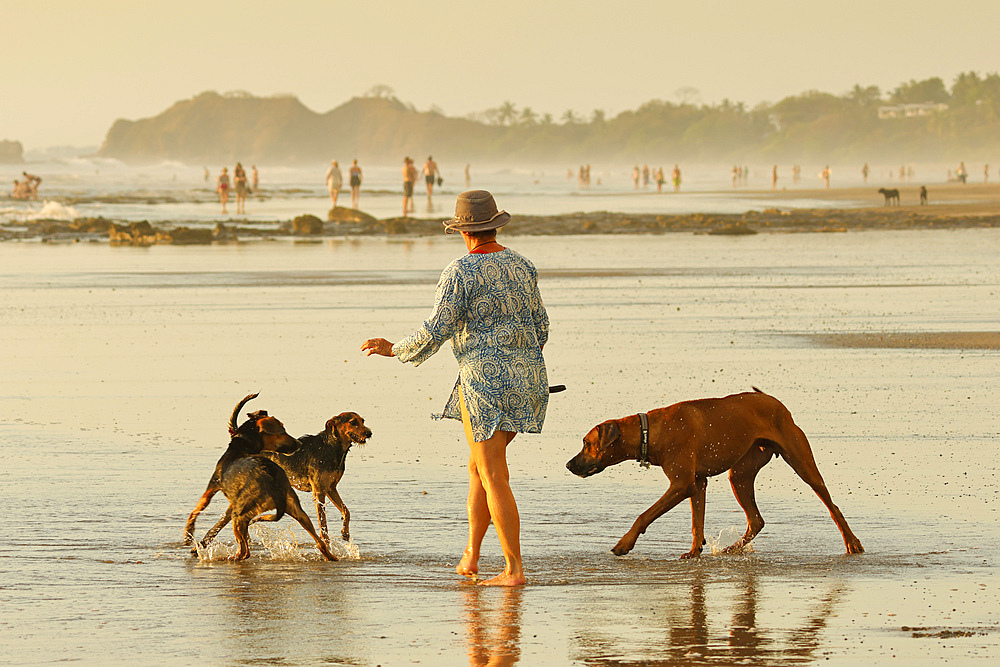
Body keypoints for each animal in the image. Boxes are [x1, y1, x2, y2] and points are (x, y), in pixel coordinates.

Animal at [264, 412, 374, 544]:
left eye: (363, 421)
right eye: (353, 422)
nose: (369, 433)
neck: (332, 447)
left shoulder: (330, 489)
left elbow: (346, 511)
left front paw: (345, 533)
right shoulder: (319, 491)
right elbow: (323, 523)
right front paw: (326, 541)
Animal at [568, 388, 864, 560]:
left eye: (585, 443)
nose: (569, 465)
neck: (651, 431)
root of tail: (775, 401)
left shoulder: (681, 484)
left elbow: (645, 514)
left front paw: (624, 544)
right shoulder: (697, 483)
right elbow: (696, 522)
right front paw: (694, 551)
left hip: (801, 461)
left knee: (832, 506)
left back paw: (852, 542)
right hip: (741, 474)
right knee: (756, 520)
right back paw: (732, 549)